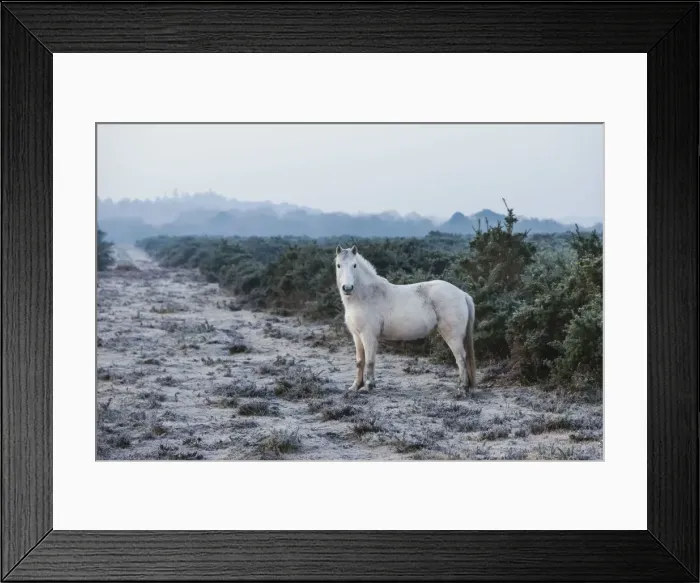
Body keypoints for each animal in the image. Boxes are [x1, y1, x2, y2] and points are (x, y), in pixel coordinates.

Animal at [335, 245, 476, 393]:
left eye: (354, 265)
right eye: (338, 265)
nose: (347, 288)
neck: (364, 297)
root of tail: (462, 294)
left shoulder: (368, 335)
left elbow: (369, 361)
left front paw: (368, 386)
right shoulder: (357, 336)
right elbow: (360, 361)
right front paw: (355, 386)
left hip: (453, 336)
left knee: (461, 358)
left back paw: (463, 387)